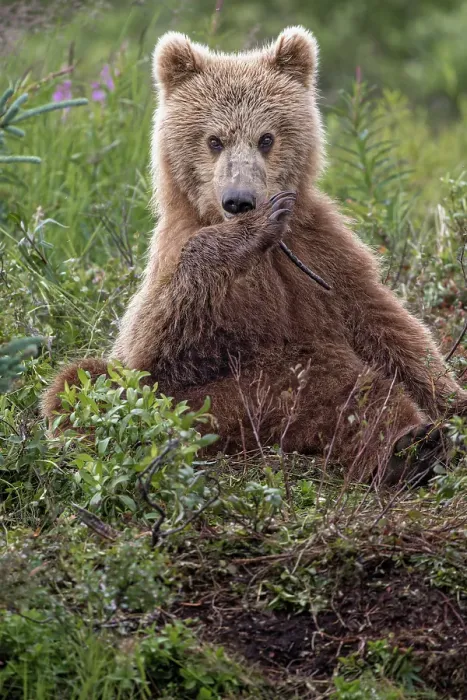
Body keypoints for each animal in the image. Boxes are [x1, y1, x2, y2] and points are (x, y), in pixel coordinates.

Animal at [42, 26, 467, 485]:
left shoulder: (322, 252)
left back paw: (416, 443)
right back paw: (407, 447)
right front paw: (244, 234)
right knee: (79, 382)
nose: (240, 201)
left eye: (267, 138)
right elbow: (150, 352)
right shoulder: (175, 263)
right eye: (214, 140)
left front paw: (454, 402)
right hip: (207, 404)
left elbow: (388, 328)